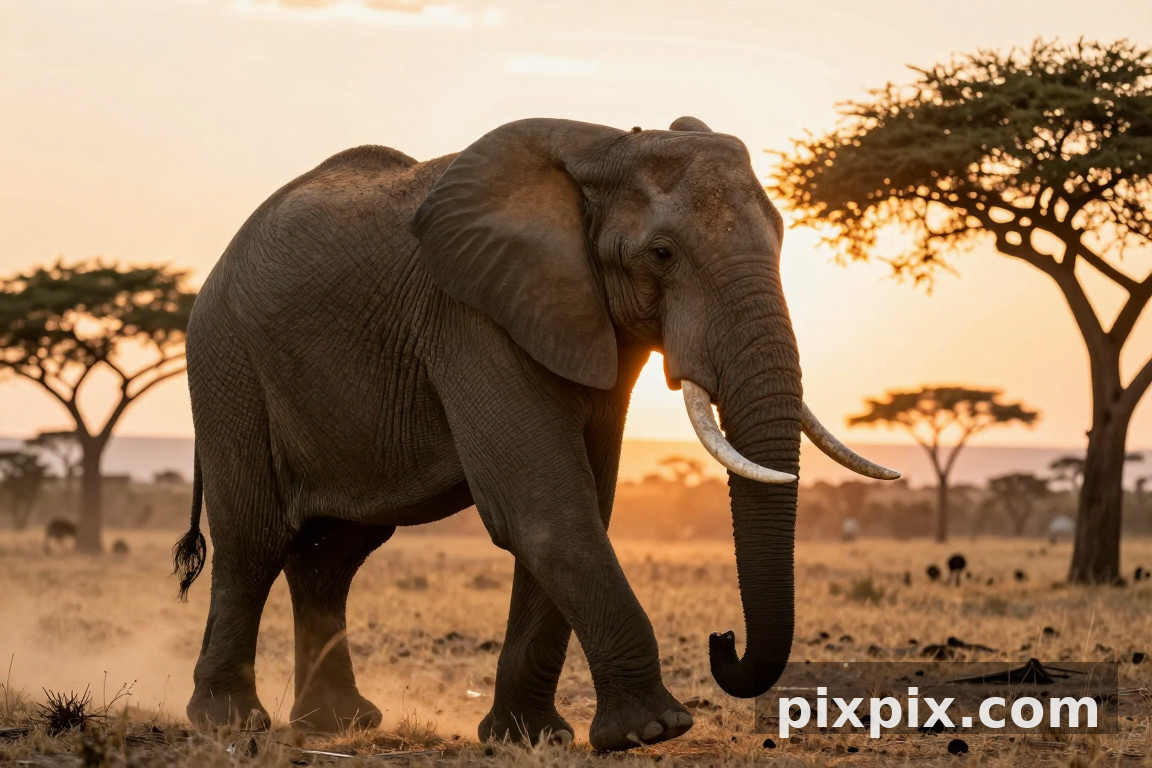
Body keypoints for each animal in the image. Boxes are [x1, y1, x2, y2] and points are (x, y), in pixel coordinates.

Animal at [172, 115, 898, 751]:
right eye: (662, 254)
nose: (723, 640)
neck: (606, 149)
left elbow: (581, 505)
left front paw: (530, 738)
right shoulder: (470, 317)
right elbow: (544, 508)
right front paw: (653, 731)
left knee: (331, 556)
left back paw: (339, 725)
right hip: (228, 364)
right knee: (253, 542)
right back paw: (229, 723)